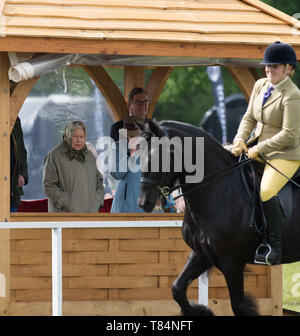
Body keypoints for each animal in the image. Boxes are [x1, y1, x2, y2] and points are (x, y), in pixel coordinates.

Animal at [137, 119, 300, 316]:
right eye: (139, 154)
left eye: (160, 155)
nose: (144, 202)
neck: (218, 191)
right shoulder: (202, 254)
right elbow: (177, 289)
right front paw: (202, 311)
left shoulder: (232, 262)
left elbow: (239, 306)